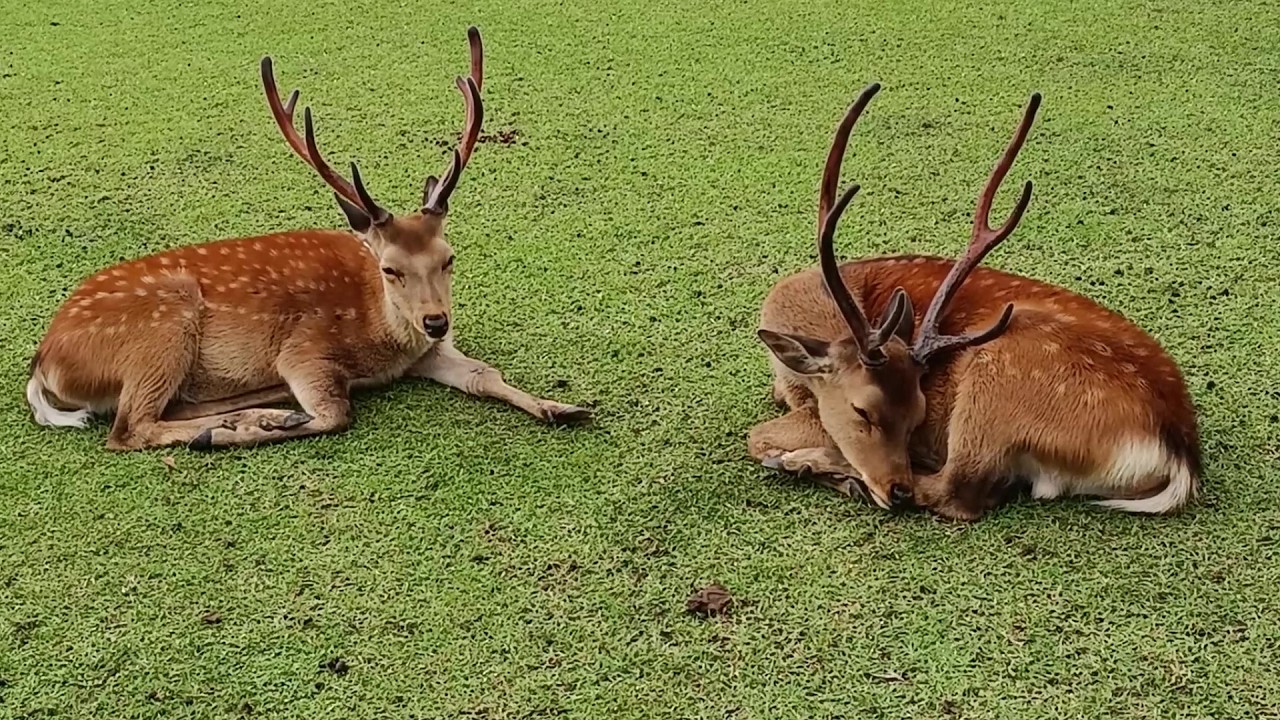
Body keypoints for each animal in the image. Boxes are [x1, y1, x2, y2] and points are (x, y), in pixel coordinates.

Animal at [25, 26, 592, 451]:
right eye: (390, 268)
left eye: (449, 258)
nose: (436, 321)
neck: (380, 333)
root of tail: (44, 363)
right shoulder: (304, 350)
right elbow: (334, 412)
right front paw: (271, 424)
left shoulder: (429, 352)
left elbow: (484, 374)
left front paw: (566, 406)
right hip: (162, 325)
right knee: (129, 429)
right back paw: (236, 426)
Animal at [748, 84, 1202, 521]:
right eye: (863, 412)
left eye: (918, 416)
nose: (897, 490)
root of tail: (1178, 455)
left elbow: (757, 435)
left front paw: (794, 456)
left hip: (993, 385)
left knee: (959, 493)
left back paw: (812, 467)